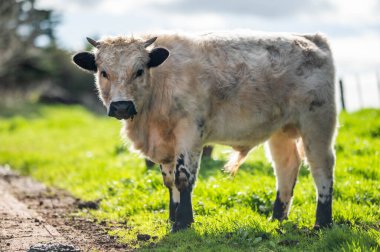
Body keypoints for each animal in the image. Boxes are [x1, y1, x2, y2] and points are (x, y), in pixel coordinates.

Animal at [72, 32, 336, 232]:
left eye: (139, 70)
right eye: (103, 72)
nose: (121, 106)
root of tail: (311, 38)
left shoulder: (189, 132)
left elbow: (183, 177)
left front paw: (183, 223)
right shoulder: (165, 143)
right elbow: (169, 181)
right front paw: (172, 217)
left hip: (318, 122)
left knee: (321, 167)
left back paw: (322, 223)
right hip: (281, 131)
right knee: (286, 168)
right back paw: (277, 218)